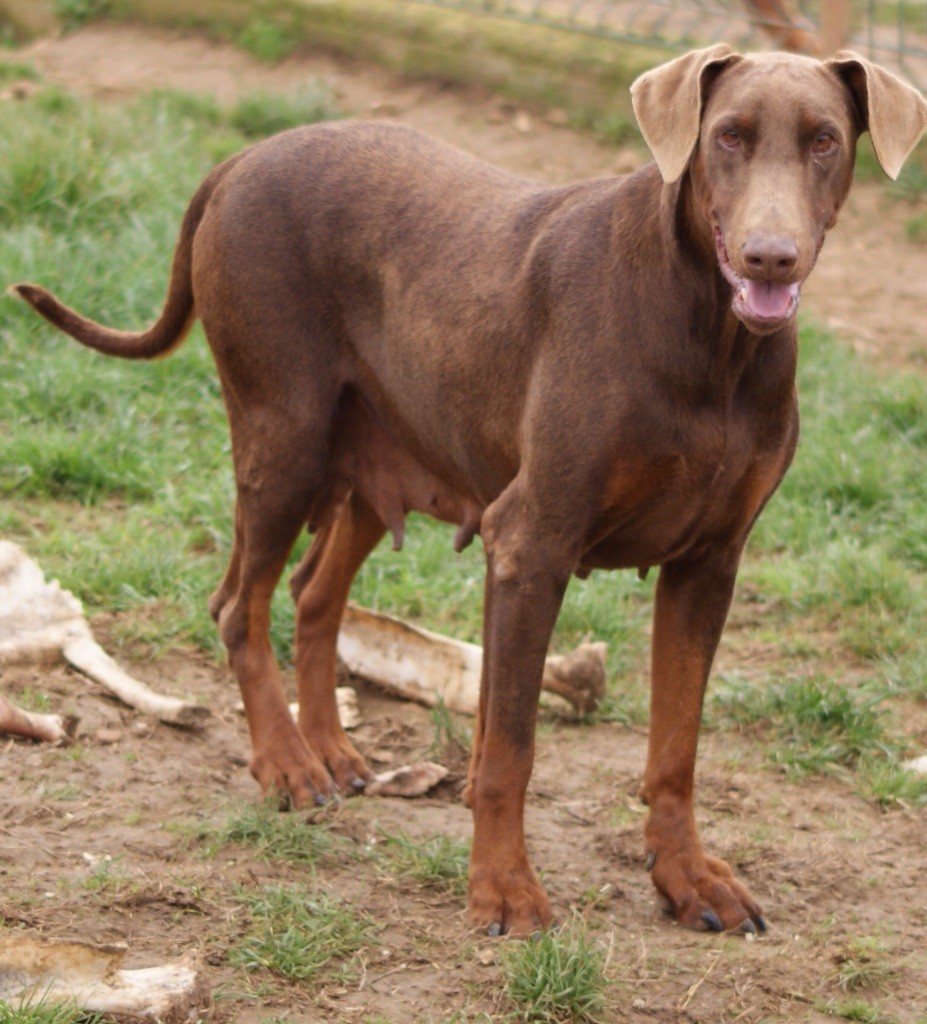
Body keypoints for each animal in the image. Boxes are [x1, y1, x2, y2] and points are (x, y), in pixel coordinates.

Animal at [14, 49, 925, 942]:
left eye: (823, 140)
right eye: (728, 135)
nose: (771, 254)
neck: (711, 338)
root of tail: (241, 158)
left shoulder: (708, 563)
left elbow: (675, 747)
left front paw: (685, 877)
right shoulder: (532, 542)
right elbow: (509, 747)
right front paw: (503, 891)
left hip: (369, 462)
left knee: (311, 594)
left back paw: (329, 747)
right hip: (284, 442)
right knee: (240, 603)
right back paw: (285, 763)